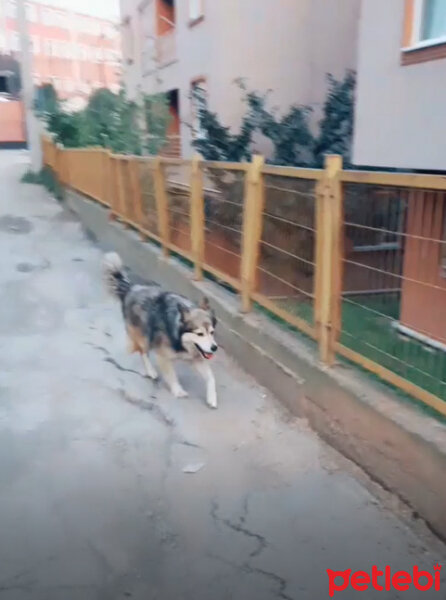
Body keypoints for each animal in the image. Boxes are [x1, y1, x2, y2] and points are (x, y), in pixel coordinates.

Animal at [103, 251, 218, 410]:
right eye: (199, 334)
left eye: (212, 332)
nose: (214, 348)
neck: (179, 335)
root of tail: (131, 288)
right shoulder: (163, 356)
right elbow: (172, 375)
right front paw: (178, 390)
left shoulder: (197, 357)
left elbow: (211, 378)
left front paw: (212, 398)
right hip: (144, 336)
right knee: (143, 352)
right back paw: (151, 371)